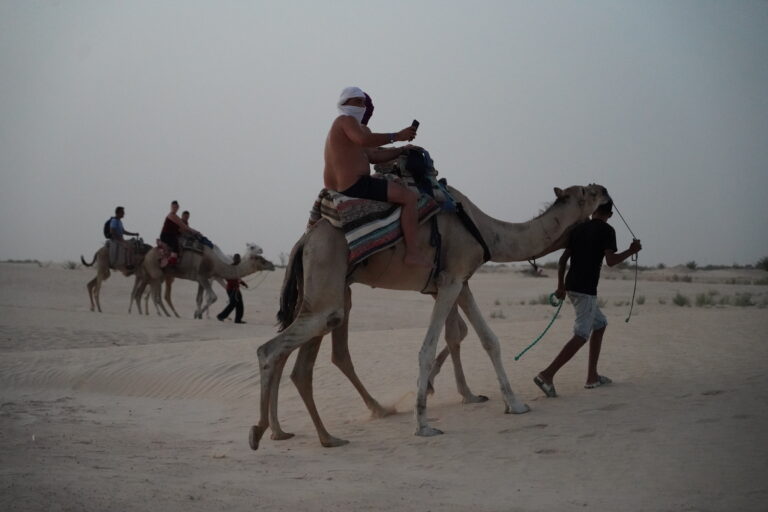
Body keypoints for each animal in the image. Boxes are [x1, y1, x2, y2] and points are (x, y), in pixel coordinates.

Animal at [134, 242, 274, 318]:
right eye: (261, 260)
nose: (272, 265)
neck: (218, 263)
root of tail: (147, 255)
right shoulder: (203, 276)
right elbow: (212, 297)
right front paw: (198, 314)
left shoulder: (201, 279)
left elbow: (199, 298)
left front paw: (198, 314)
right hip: (156, 272)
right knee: (154, 295)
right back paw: (163, 314)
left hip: (157, 275)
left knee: (147, 293)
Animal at [249, 181, 608, 448]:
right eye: (586, 192)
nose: (605, 190)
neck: (485, 230)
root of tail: (305, 239)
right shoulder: (450, 281)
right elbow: (428, 347)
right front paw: (423, 423)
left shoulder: (461, 282)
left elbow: (487, 339)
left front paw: (514, 404)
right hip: (327, 282)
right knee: (274, 348)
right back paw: (264, 430)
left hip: (322, 290)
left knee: (301, 356)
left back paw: (298, 432)